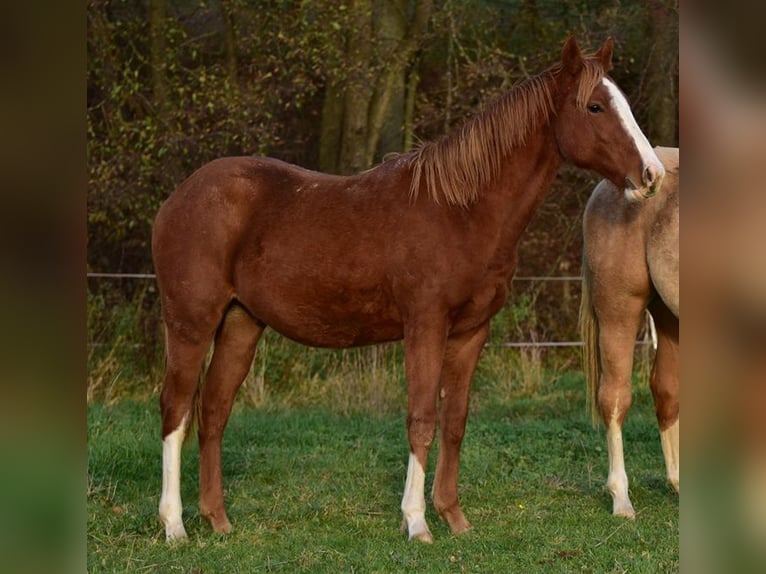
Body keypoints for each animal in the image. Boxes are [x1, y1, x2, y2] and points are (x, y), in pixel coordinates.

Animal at [152, 35, 665, 543]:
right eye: (595, 106)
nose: (652, 175)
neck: (462, 211)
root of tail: (178, 198)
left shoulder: (470, 333)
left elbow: (453, 422)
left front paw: (453, 516)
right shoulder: (425, 326)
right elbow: (421, 420)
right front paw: (416, 521)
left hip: (241, 323)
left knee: (213, 411)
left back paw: (217, 520)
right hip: (191, 324)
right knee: (176, 410)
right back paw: (175, 525)